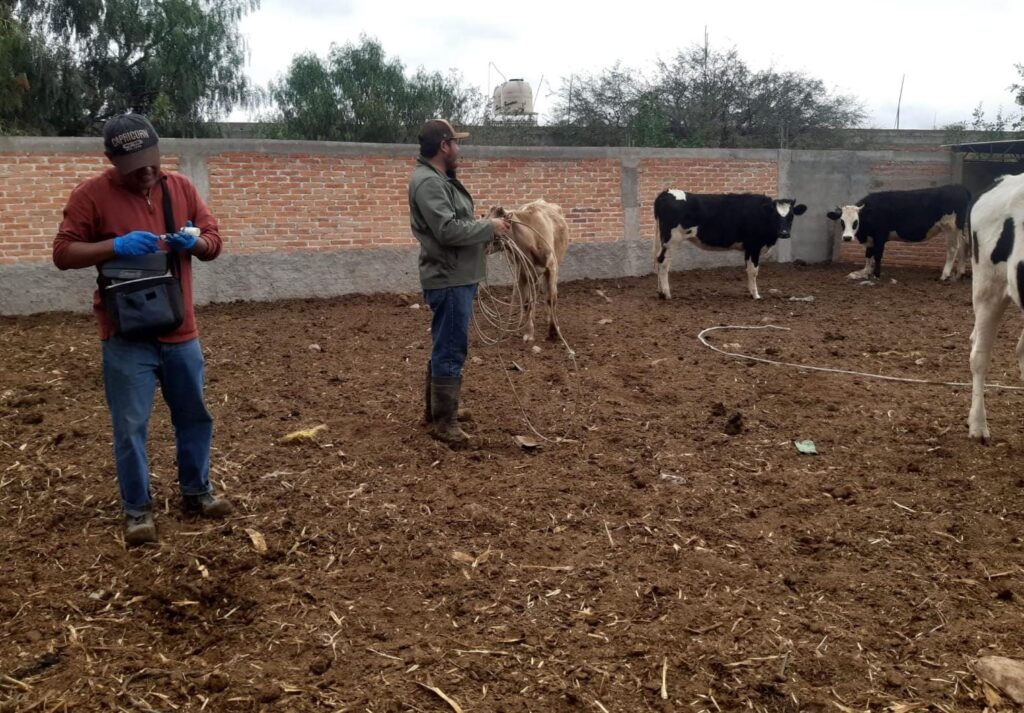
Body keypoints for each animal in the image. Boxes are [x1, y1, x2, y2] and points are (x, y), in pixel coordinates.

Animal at [486, 199, 569, 342]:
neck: (531, 239)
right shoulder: (522, 273)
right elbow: (526, 303)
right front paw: (529, 333)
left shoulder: (551, 267)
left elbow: (551, 298)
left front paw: (553, 331)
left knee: (550, 293)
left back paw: (550, 318)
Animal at [652, 190, 807, 300]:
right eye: (775, 215)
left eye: (791, 216)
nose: (784, 233)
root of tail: (665, 193)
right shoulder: (754, 246)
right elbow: (754, 270)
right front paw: (756, 295)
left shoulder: (748, 248)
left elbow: (748, 269)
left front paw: (751, 292)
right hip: (672, 240)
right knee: (664, 263)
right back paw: (666, 293)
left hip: (664, 240)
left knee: (658, 259)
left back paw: (660, 292)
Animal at [826, 185, 971, 281]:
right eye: (842, 221)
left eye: (856, 221)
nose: (847, 237)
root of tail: (960, 188)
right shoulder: (871, 238)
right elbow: (868, 255)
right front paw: (865, 272)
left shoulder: (880, 236)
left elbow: (877, 255)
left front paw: (876, 275)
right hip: (958, 229)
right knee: (963, 246)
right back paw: (959, 273)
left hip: (951, 227)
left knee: (953, 248)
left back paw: (945, 275)